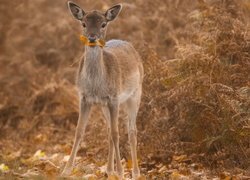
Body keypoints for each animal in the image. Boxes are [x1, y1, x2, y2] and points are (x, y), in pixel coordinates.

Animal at [61, 1, 144, 179]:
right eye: (83, 23)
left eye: (103, 24)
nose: (92, 37)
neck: (96, 85)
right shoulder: (84, 97)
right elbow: (79, 131)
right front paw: (66, 170)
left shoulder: (113, 98)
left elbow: (116, 133)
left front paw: (121, 172)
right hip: (104, 106)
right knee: (108, 131)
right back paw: (109, 170)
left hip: (135, 93)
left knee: (131, 131)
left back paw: (135, 172)